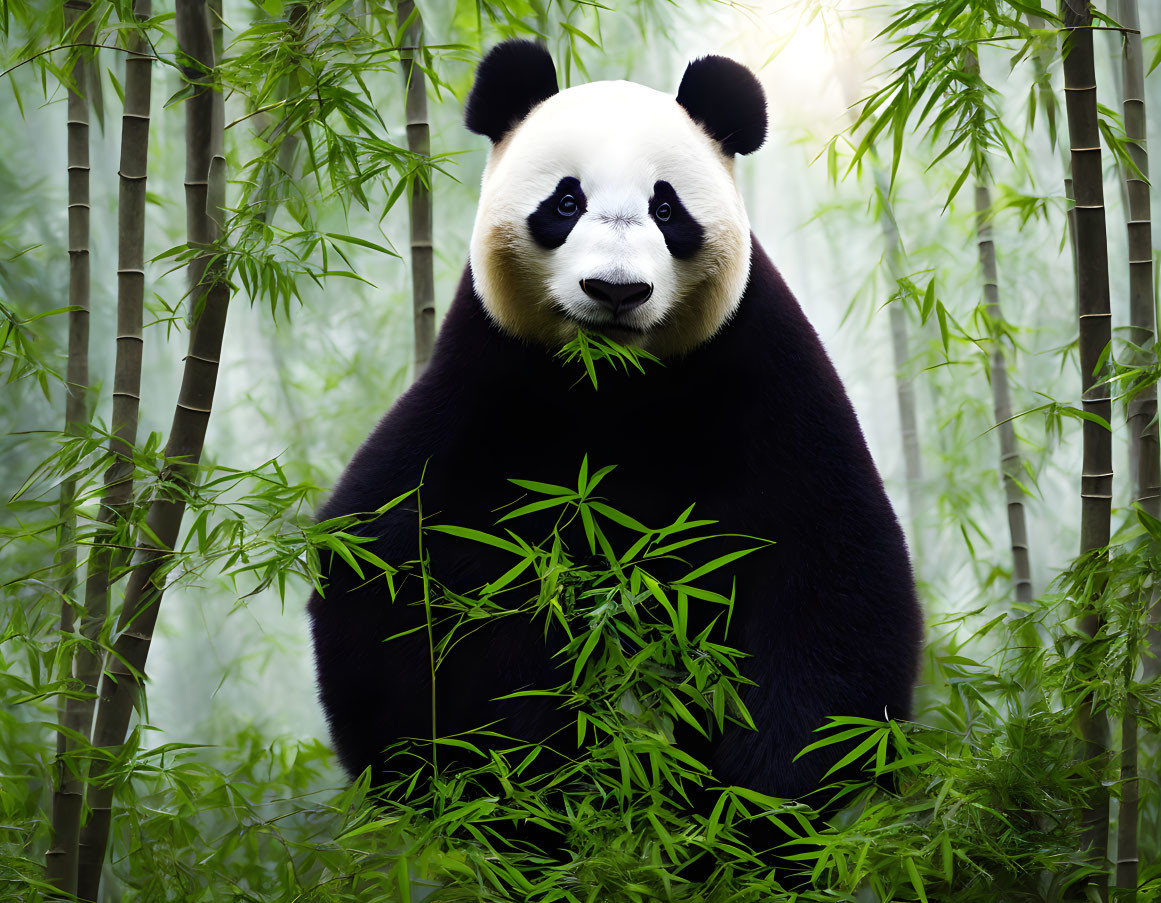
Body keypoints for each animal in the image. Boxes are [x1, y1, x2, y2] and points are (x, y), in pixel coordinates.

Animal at [308, 40, 924, 849]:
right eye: (565, 203)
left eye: (667, 209)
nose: (616, 291)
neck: (612, 385)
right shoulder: (487, 388)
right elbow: (394, 572)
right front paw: (514, 790)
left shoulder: (757, 371)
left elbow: (826, 581)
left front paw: (744, 811)